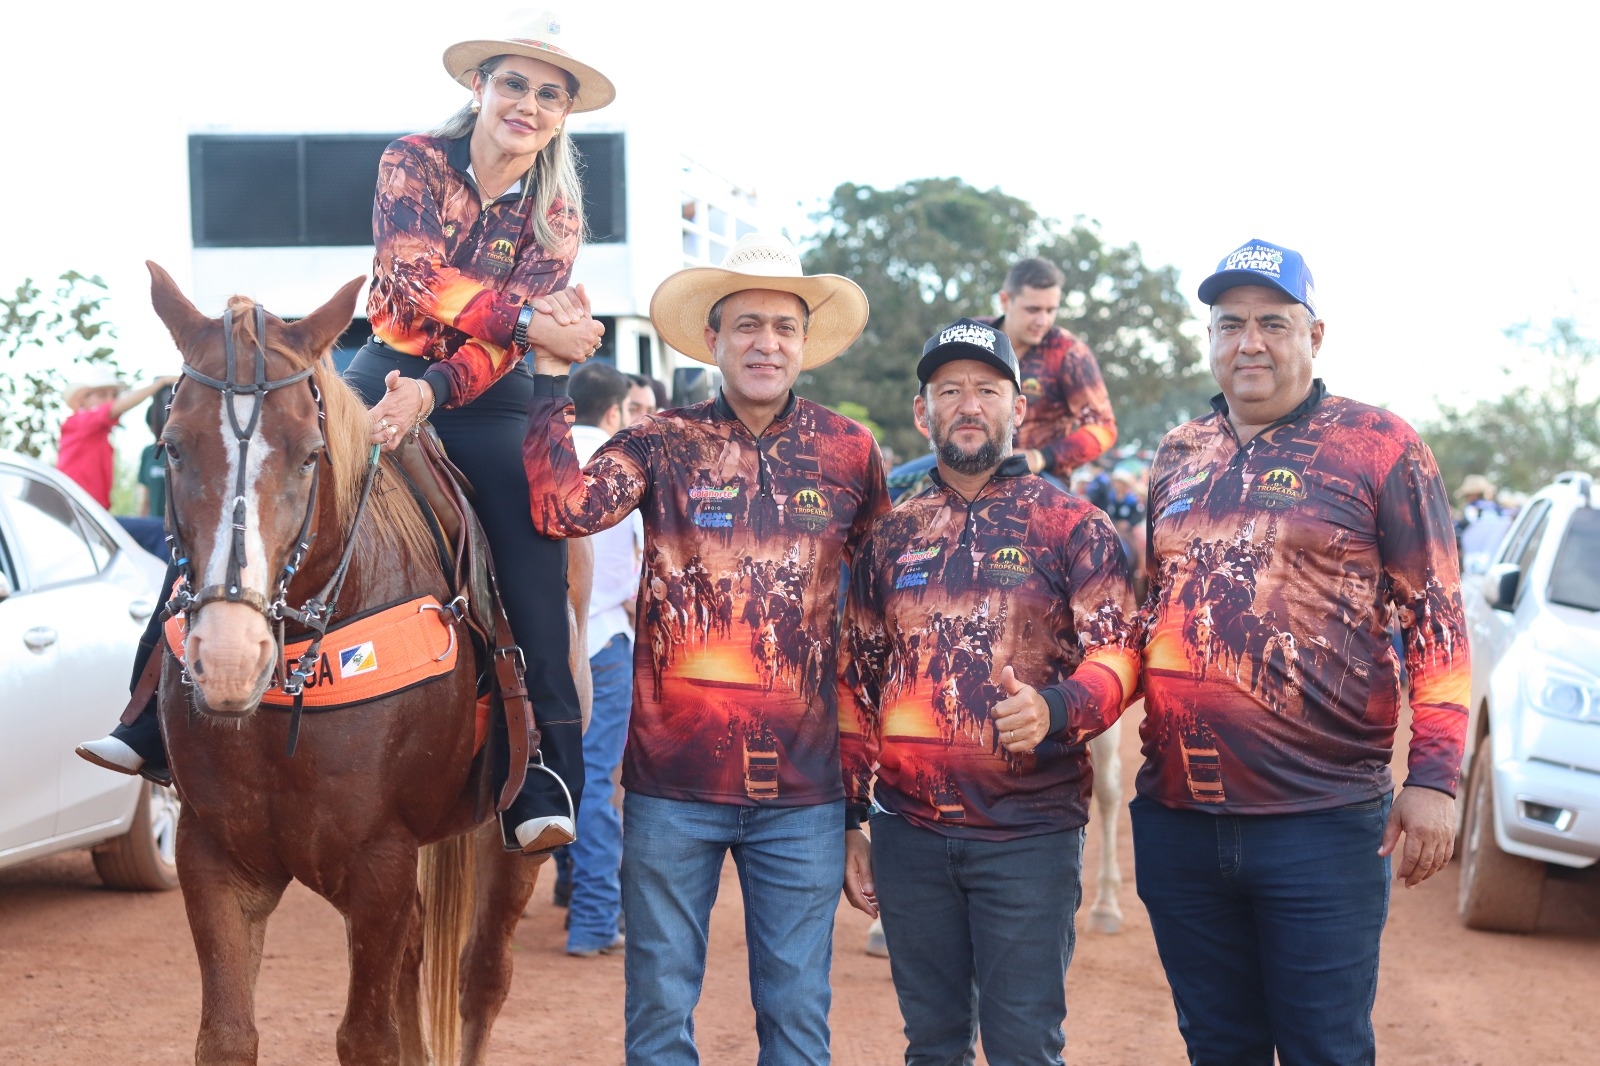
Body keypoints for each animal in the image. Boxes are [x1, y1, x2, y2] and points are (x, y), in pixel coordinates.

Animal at [145, 264, 591, 1066]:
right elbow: (227, 1036)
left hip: (510, 844)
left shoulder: (379, 864)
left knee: (482, 976)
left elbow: (368, 1037)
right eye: (172, 446)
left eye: (309, 454)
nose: (228, 660)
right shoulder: (214, 856)